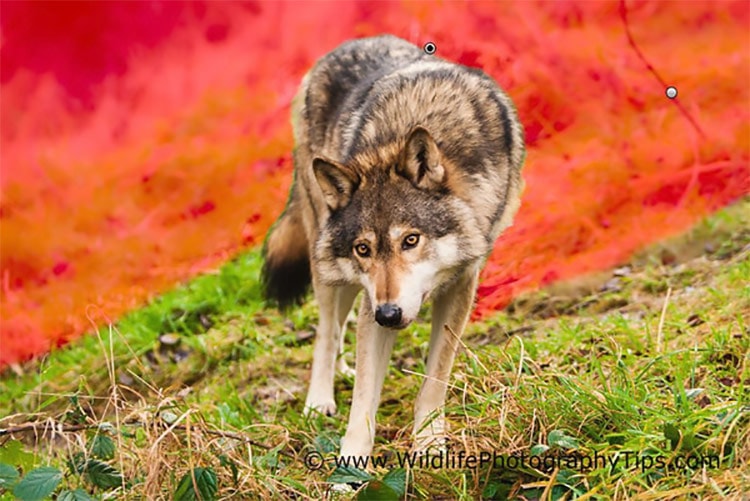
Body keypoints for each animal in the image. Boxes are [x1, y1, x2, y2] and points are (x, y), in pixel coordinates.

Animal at [262, 34, 524, 458]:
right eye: (363, 249)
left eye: (411, 240)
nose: (388, 314)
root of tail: (344, 46)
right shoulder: (373, 300)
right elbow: (363, 400)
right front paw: (349, 463)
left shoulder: (460, 285)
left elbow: (435, 379)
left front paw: (429, 442)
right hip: (329, 271)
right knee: (327, 331)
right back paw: (320, 399)